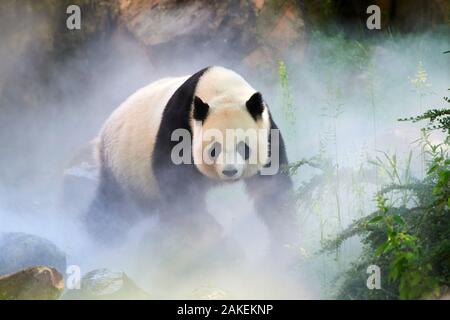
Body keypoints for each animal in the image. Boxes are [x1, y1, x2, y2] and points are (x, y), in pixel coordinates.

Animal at [87, 65, 298, 248]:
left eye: (243, 148)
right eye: (214, 150)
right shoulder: (178, 126)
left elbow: (272, 186)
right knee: (113, 205)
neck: (220, 89)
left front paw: (284, 233)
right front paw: (207, 229)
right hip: (123, 167)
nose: (229, 172)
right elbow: (177, 185)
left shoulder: (268, 131)